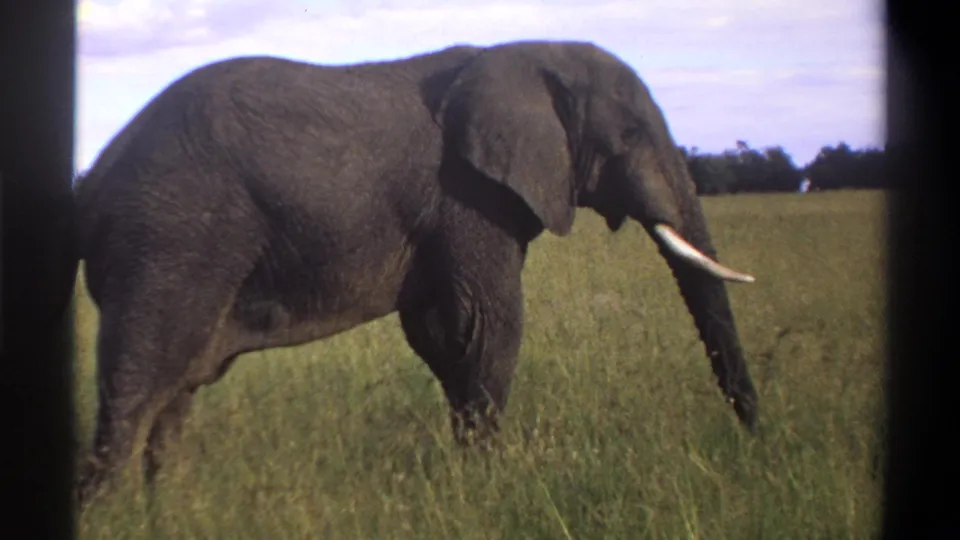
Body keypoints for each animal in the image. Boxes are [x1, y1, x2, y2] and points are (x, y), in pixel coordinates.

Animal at [73, 40, 759, 505]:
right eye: (633, 132)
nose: (757, 440)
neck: (524, 53)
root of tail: (97, 175)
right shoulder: (468, 196)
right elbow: (487, 327)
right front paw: (490, 488)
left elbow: (444, 335)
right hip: (169, 239)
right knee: (135, 392)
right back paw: (115, 517)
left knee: (175, 399)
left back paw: (168, 511)